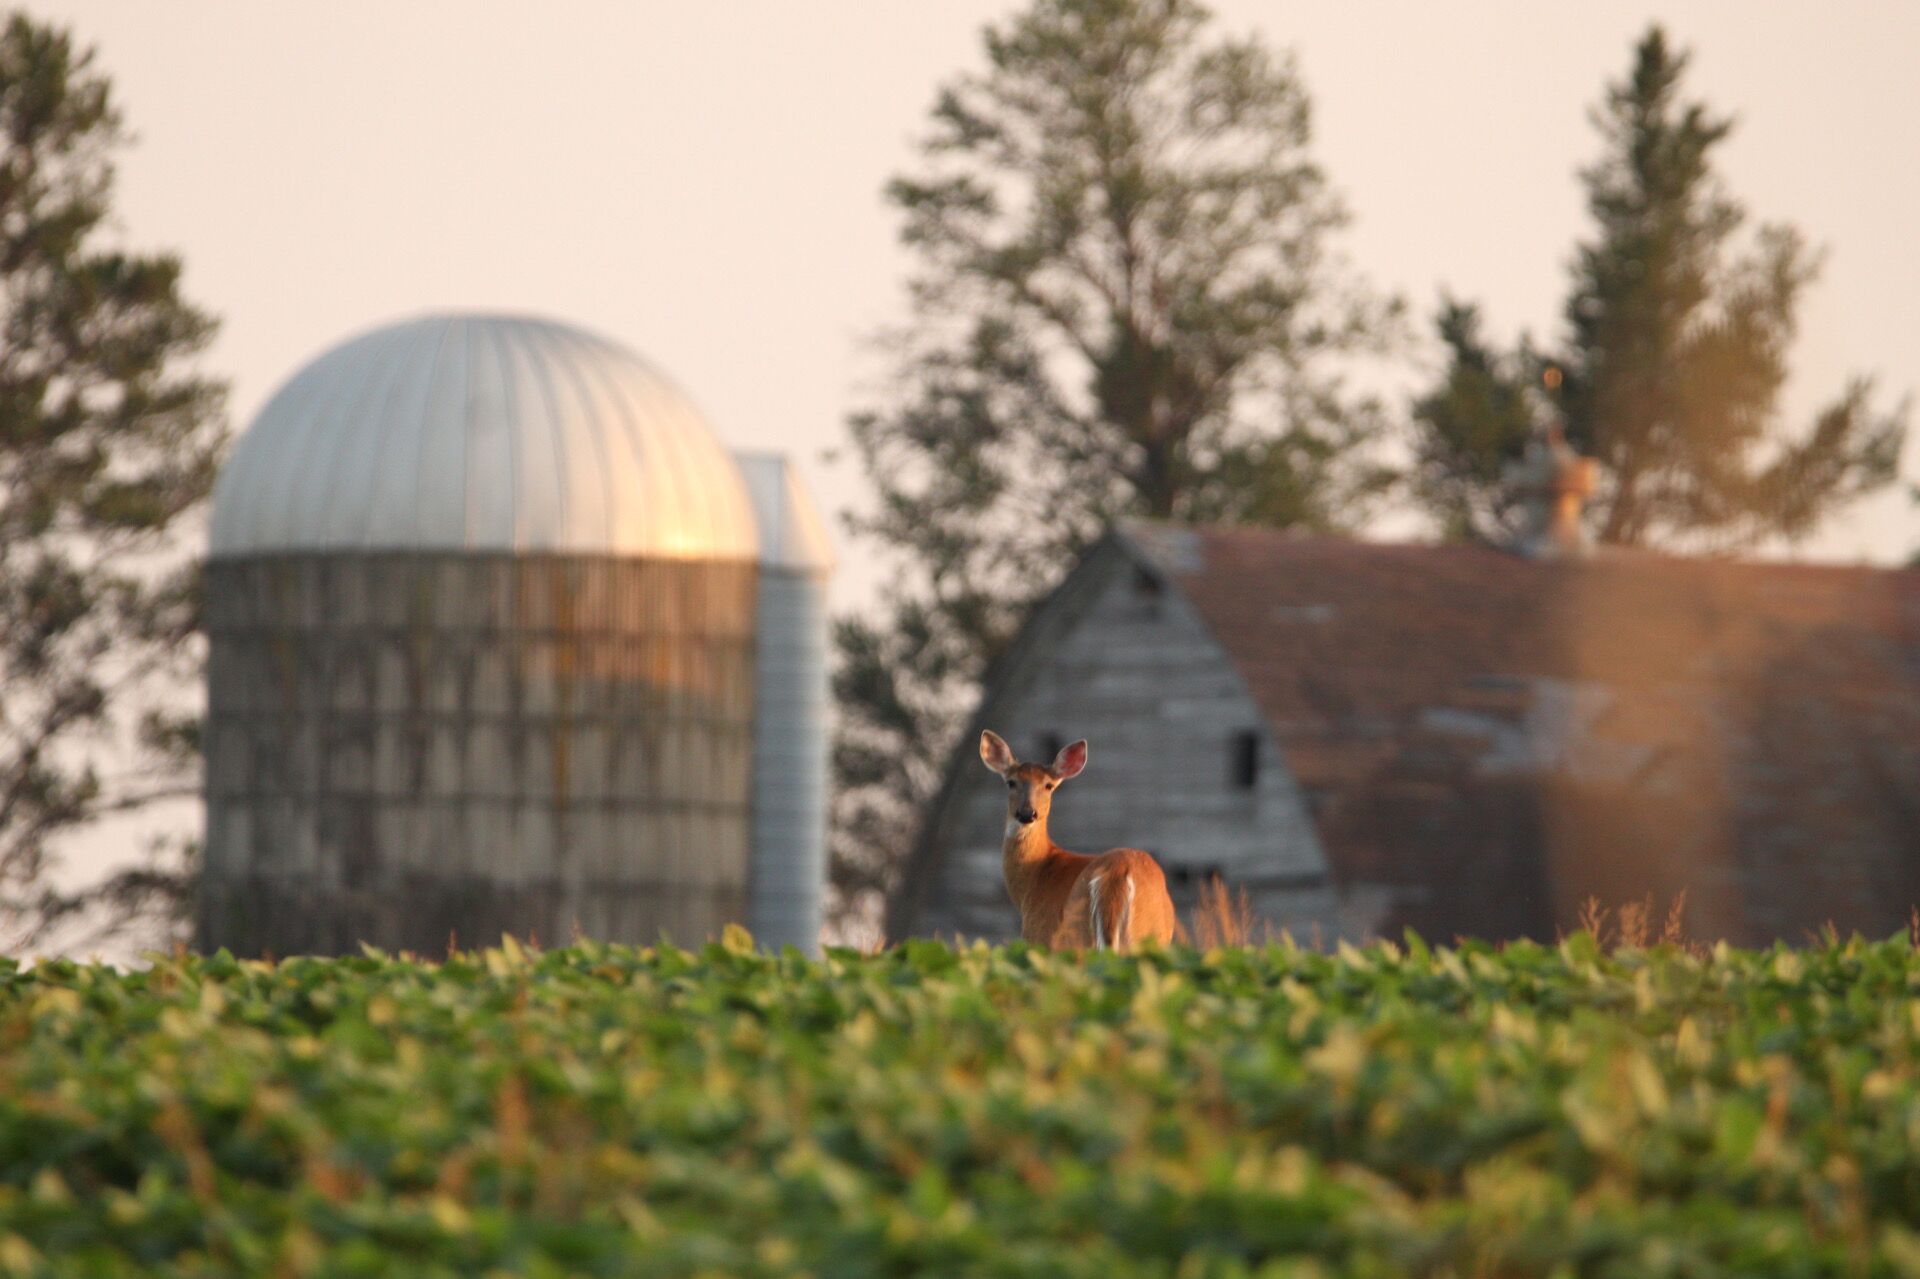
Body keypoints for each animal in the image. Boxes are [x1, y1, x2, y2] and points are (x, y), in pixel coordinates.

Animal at [983, 725, 1175, 944]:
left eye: (1048, 785)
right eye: (1011, 782)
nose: (1027, 813)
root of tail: (1117, 875)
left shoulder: (1039, 934)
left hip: (1077, 934)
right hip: (1150, 935)